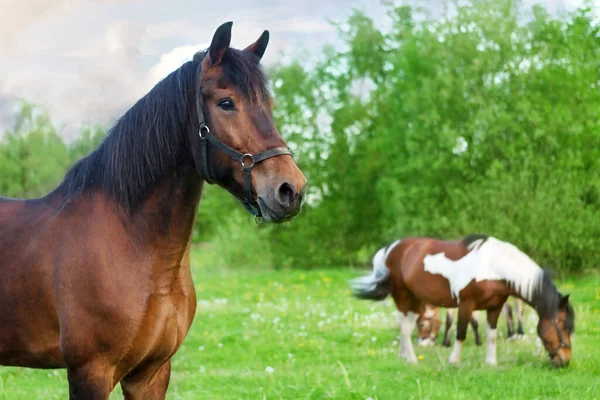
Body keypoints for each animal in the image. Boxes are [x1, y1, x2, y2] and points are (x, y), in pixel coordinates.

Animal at [354, 234, 576, 368]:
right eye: (562, 324)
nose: (565, 359)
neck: (494, 266)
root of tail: (392, 248)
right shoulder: (466, 305)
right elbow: (460, 333)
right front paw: (454, 362)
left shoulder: (495, 307)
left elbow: (492, 335)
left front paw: (491, 363)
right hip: (402, 296)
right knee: (405, 328)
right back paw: (411, 358)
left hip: (416, 300)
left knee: (406, 325)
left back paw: (404, 357)